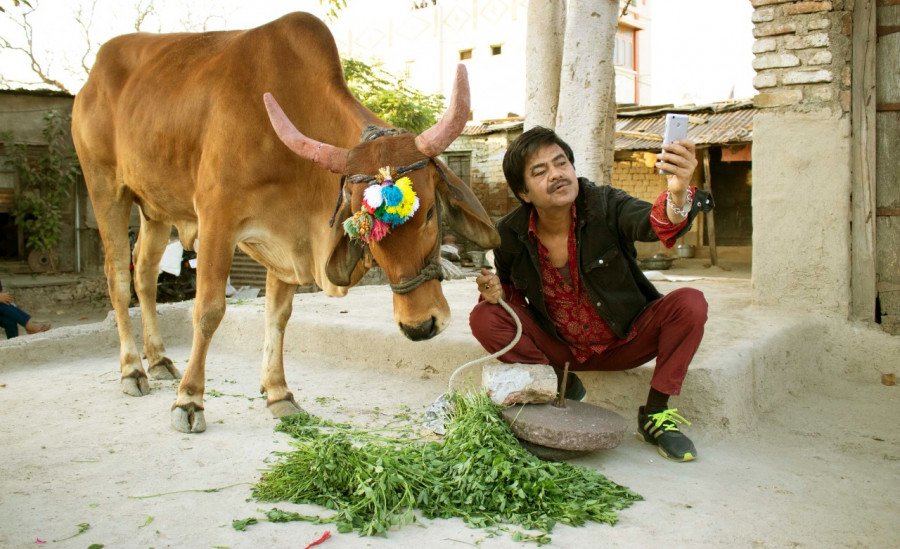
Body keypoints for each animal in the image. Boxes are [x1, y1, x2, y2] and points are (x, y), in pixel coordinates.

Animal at [71, 12, 500, 433]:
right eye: (362, 224)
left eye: (429, 213)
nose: (420, 326)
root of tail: (91, 80)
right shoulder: (216, 221)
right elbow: (208, 311)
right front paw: (189, 400)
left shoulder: (287, 241)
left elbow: (278, 316)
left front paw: (278, 394)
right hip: (106, 188)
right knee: (119, 277)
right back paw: (132, 370)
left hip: (155, 209)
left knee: (144, 272)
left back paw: (158, 360)